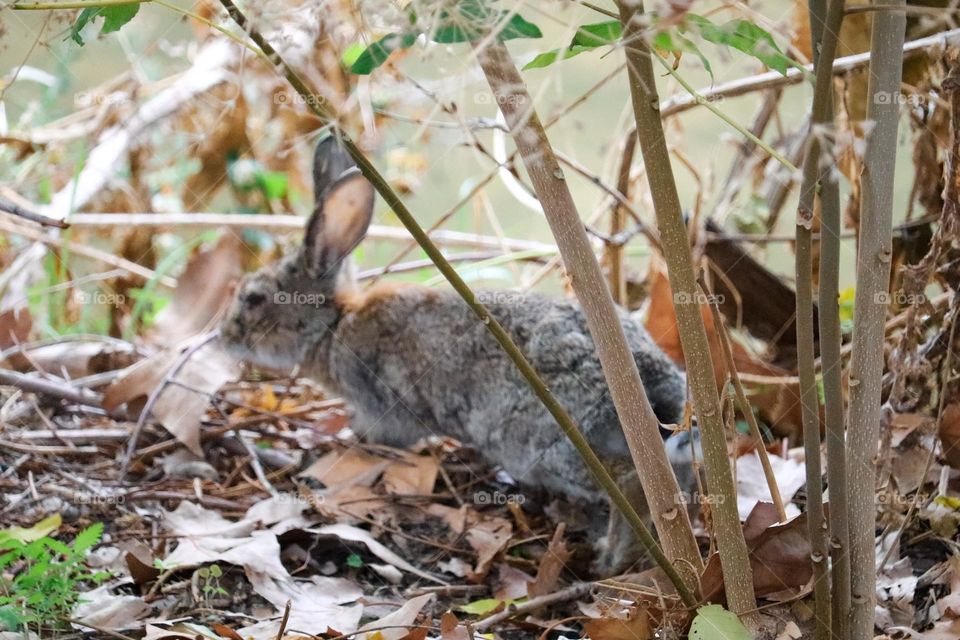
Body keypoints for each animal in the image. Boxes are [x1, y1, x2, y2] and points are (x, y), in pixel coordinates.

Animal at [220, 136, 693, 575]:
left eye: (254, 299)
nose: (223, 336)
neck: (334, 325)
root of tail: (653, 378)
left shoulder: (381, 404)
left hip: (550, 444)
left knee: (630, 482)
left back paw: (611, 560)